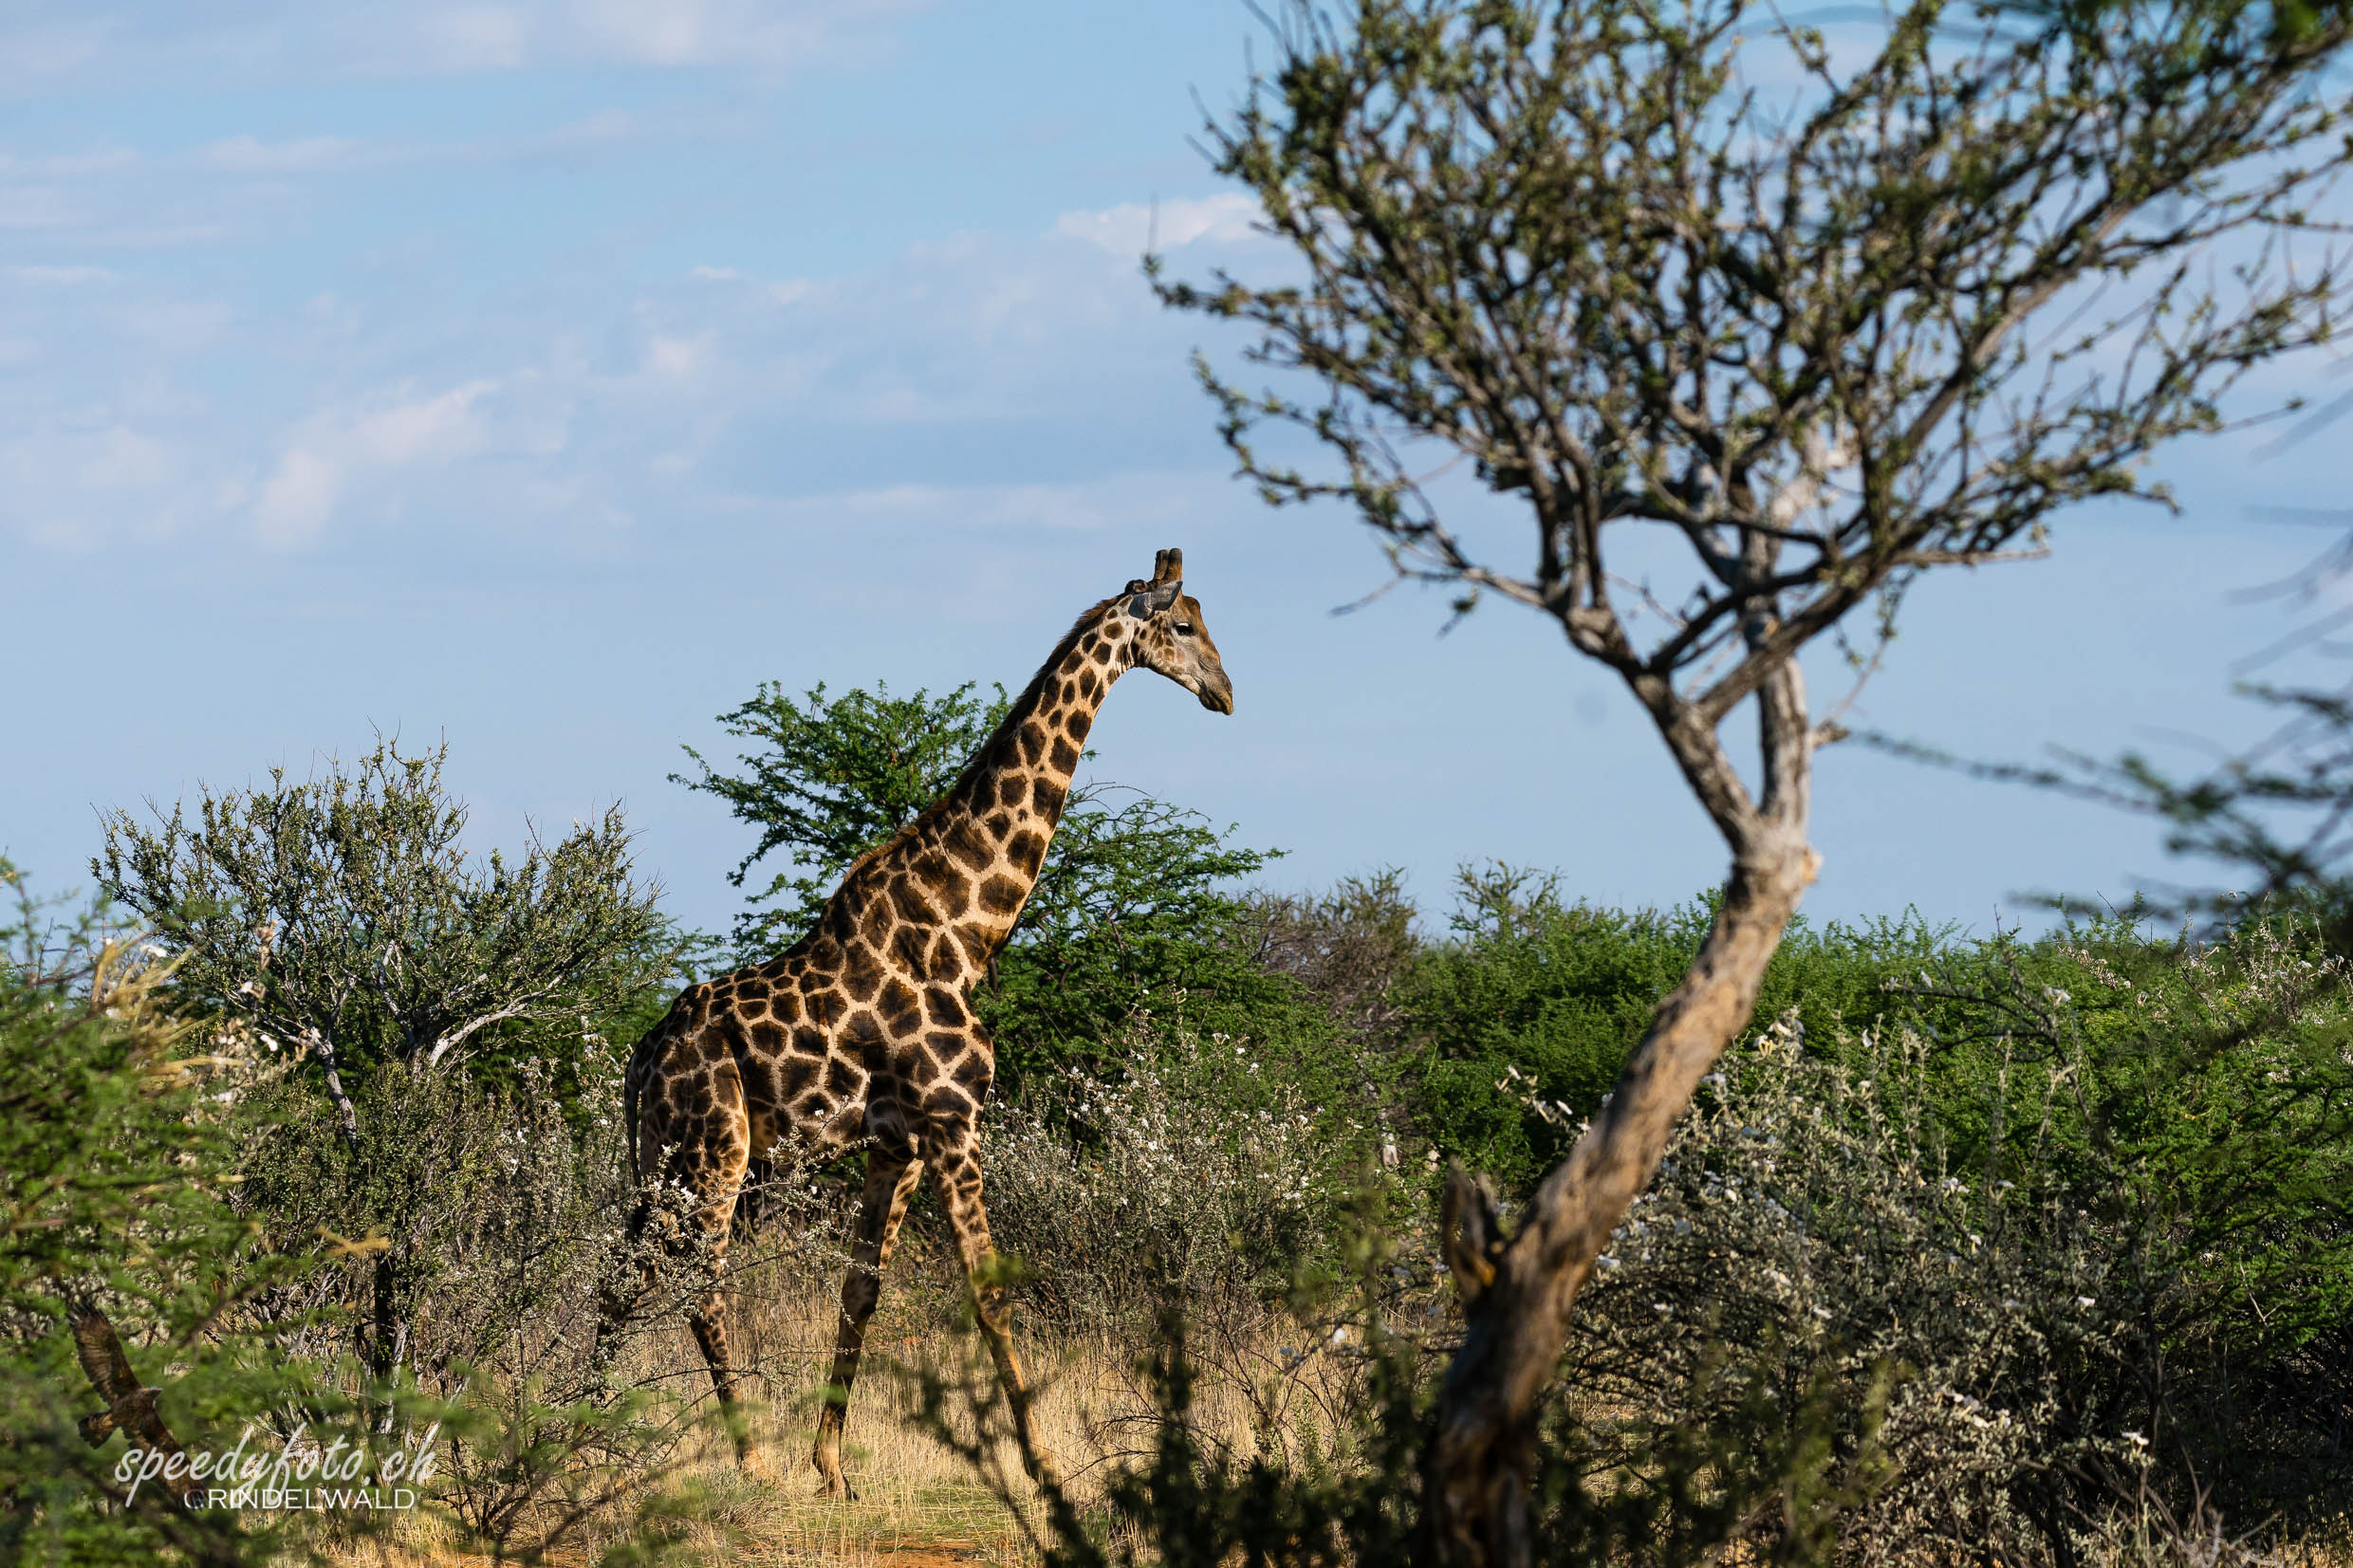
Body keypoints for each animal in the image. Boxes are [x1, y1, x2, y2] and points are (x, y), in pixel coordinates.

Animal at [602, 549, 1232, 1495]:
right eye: (1185, 625)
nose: (1224, 691)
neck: (969, 925)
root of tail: (642, 1060)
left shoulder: (898, 1142)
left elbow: (862, 1289)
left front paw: (831, 1467)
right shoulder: (954, 1120)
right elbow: (989, 1290)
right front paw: (1046, 1468)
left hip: (660, 1153)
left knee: (620, 1275)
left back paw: (571, 1421)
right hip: (717, 1145)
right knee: (698, 1284)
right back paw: (747, 1455)